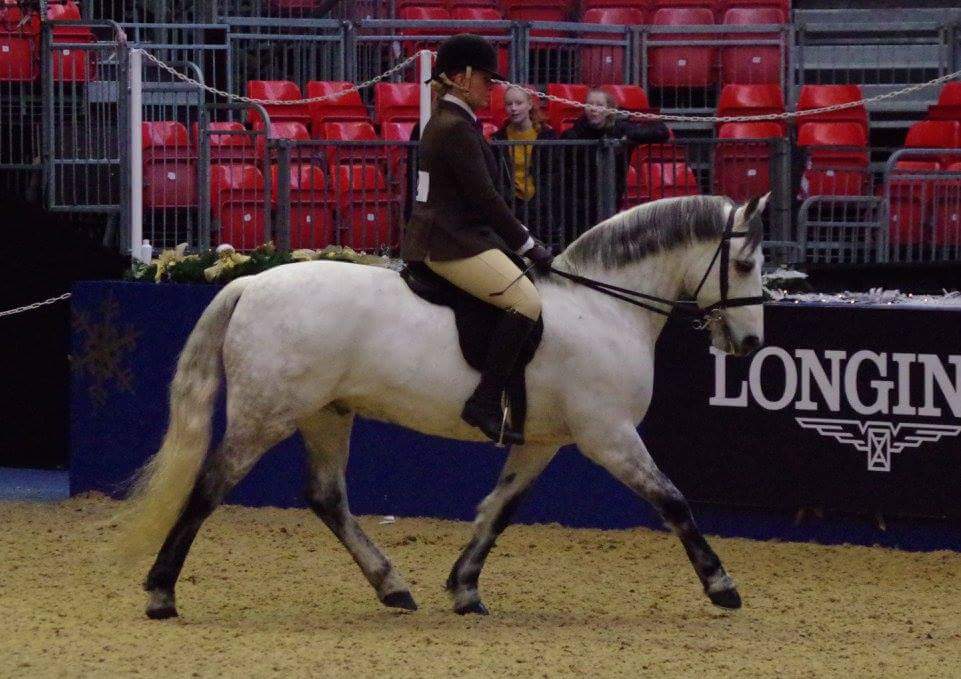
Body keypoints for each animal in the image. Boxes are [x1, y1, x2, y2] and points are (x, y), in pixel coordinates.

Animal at [116, 192, 769, 619]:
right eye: (742, 264)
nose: (749, 344)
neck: (603, 308)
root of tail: (249, 282)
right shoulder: (608, 434)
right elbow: (673, 500)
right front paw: (722, 585)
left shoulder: (542, 442)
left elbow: (498, 510)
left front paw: (465, 588)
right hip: (265, 414)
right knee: (211, 484)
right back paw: (161, 592)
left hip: (326, 413)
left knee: (327, 498)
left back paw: (392, 587)